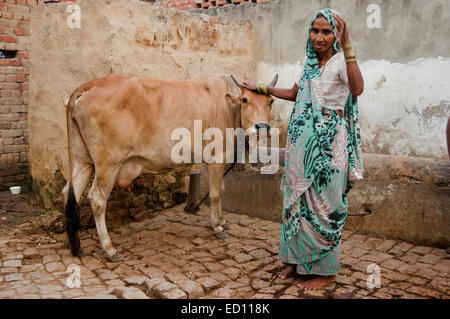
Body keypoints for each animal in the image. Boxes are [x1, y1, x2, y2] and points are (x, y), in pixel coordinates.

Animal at [60, 74, 278, 262]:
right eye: (245, 100)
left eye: (270, 101)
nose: (262, 127)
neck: (228, 107)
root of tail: (91, 85)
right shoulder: (216, 158)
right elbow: (216, 193)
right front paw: (216, 226)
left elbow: (222, 190)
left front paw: (223, 221)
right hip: (108, 162)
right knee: (97, 199)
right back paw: (109, 249)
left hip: (83, 160)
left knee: (69, 192)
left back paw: (75, 246)